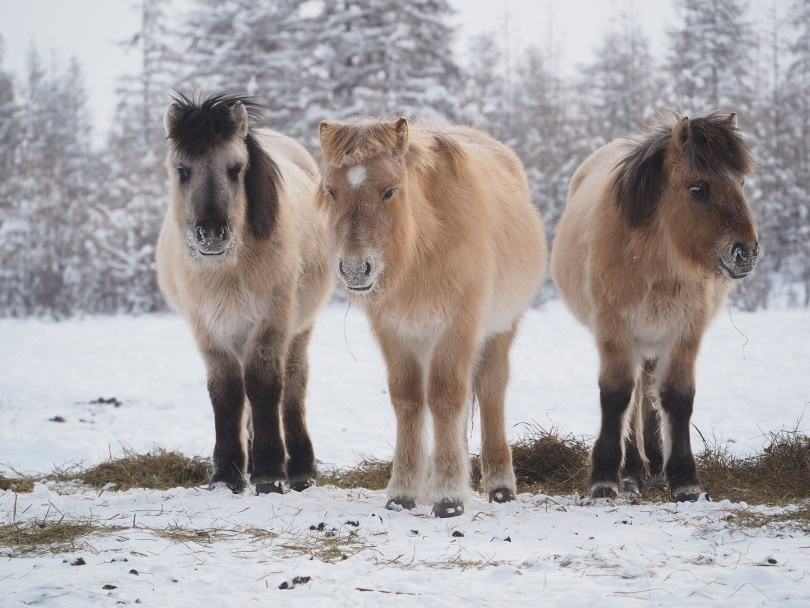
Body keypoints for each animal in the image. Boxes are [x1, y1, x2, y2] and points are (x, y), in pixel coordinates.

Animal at [156, 93, 333, 494]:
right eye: (182, 170)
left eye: (236, 169)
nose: (211, 235)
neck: (228, 271)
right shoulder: (209, 330)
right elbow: (227, 394)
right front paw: (227, 475)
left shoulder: (271, 322)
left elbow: (266, 387)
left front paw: (270, 473)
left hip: (298, 330)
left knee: (293, 387)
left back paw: (300, 468)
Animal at [316, 117, 547, 517]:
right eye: (331, 191)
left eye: (389, 191)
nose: (355, 268)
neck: (424, 247)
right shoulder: (395, 333)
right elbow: (409, 400)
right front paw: (404, 493)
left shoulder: (458, 327)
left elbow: (446, 399)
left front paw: (450, 497)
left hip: (498, 331)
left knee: (489, 389)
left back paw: (500, 486)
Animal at [551, 112, 759, 501]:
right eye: (698, 188)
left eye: (740, 182)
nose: (747, 252)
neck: (652, 260)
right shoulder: (614, 330)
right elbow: (617, 395)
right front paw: (604, 478)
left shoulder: (684, 332)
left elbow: (677, 398)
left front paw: (684, 480)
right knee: (635, 397)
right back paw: (633, 470)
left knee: (648, 395)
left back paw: (653, 466)